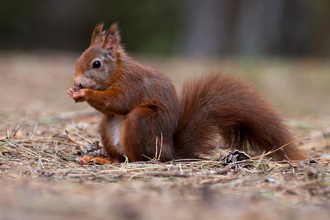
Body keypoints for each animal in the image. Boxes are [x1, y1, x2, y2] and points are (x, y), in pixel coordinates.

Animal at [66, 23, 306, 164]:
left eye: (96, 64)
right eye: (78, 60)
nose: (77, 82)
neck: (117, 71)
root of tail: (169, 152)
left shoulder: (132, 83)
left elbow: (119, 101)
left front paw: (85, 93)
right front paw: (73, 91)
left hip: (141, 122)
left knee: (137, 157)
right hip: (107, 126)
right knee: (117, 158)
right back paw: (100, 160)